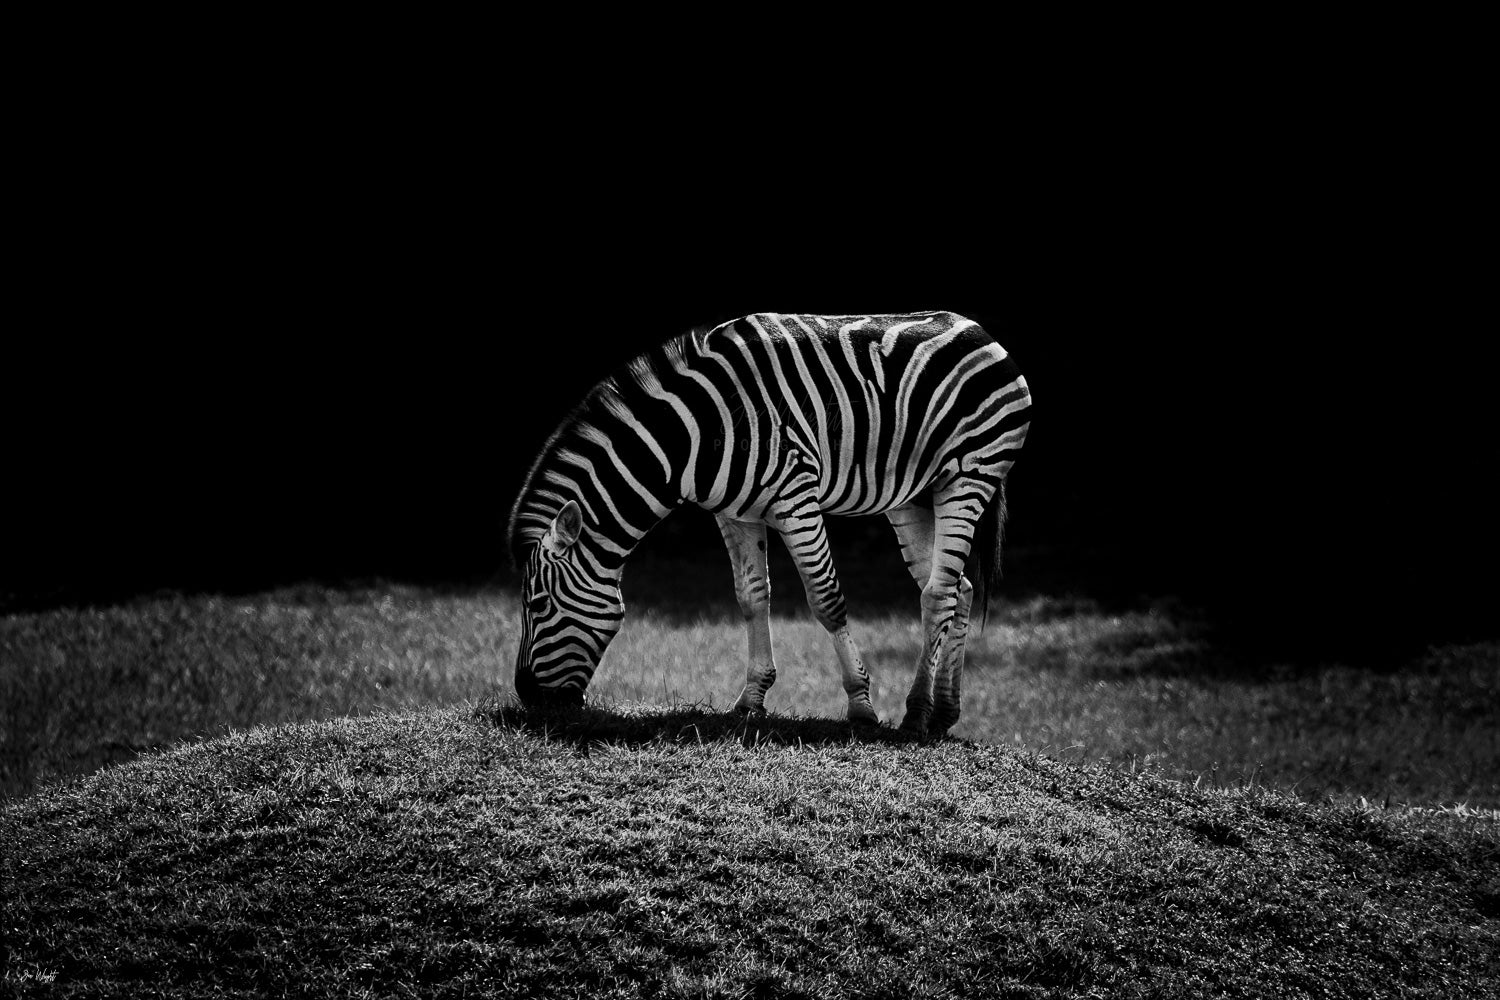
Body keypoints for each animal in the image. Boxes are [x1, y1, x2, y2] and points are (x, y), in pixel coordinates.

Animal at [508, 311, 1031, 736]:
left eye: (537, 604)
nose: (527, 697)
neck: (699, 431)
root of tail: (975, 327)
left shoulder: (796, 495)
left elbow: (826, 601)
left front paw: (860, 705)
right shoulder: (733, 512)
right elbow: (751, 597)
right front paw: (751, 699)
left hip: (971, 475)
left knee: (938, 594)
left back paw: (918, 712)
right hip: (913, 495)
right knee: (958, 589)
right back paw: (944, 713)